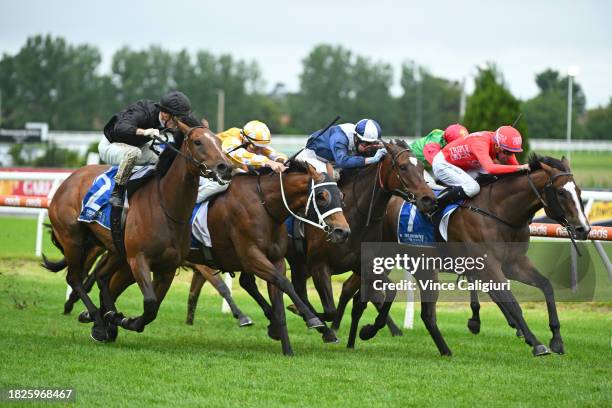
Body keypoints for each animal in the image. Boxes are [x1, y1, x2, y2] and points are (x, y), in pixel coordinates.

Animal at [41, 117, 232, 342]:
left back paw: (107, 319)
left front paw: (120, 319)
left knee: (101, 276)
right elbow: (149, 303)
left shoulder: (167, 267)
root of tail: (68, 181)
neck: (165, 206)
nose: (225, 167)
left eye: (219, 142)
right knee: (75, 278)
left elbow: (154, 308)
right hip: (73, 240)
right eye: (198, 142)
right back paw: (99, 322)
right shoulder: (138, 259)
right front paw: (122, 320)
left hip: (115, 249)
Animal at [284, 141, 438, 348]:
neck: (356, 216)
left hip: (298, 263)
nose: (429, 200)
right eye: (403, 167)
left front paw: (367, 331)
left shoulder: (365, 266)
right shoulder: (319, 265)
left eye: (421, 167)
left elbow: (390, 291)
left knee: (299, 289)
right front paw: (314, 320)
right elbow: (330, 309)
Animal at [338, 155, 592, 356]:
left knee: (362, 294)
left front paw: (556, 340)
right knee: (359, 291)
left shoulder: (514, 264)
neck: (498, 212)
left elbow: (546, 286)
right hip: (384, 259)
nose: (583, 229)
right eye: (561, 192)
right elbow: (512, 302)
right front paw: (536, 342)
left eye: (579, 192)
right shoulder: (489, 266)